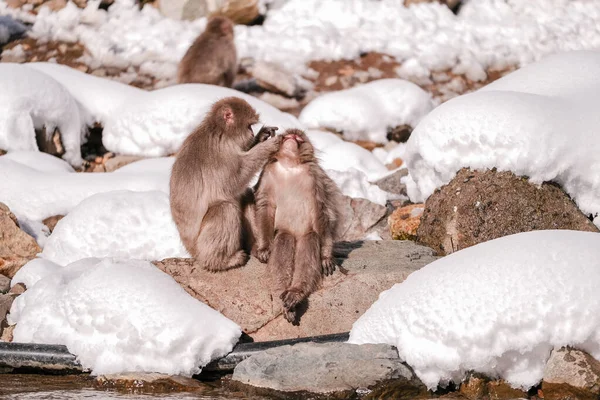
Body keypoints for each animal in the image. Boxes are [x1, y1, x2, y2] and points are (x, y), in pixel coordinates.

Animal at [169, 97, 282, 272]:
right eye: (248, 125)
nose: (252, 132)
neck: (220, 131)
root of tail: (191, 251)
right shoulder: (219, 152)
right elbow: (233, 180)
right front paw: (267, 146)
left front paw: (262, 137)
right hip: (200, 246)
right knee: (225, 209)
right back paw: (221, 261)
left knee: (244, 196)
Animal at [253, 129, 344, 324]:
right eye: (288, 136)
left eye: (298, 138)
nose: (292, 139)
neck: (290, 165)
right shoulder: (268, 173)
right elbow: (265, 205)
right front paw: (263, 248)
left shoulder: (315, 177)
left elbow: (322, 210)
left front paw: (326, 256)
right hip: (285, 234)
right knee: (283, 238)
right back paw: (283, 295)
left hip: (306, 235)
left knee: (310, 238)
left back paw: (295, 293)